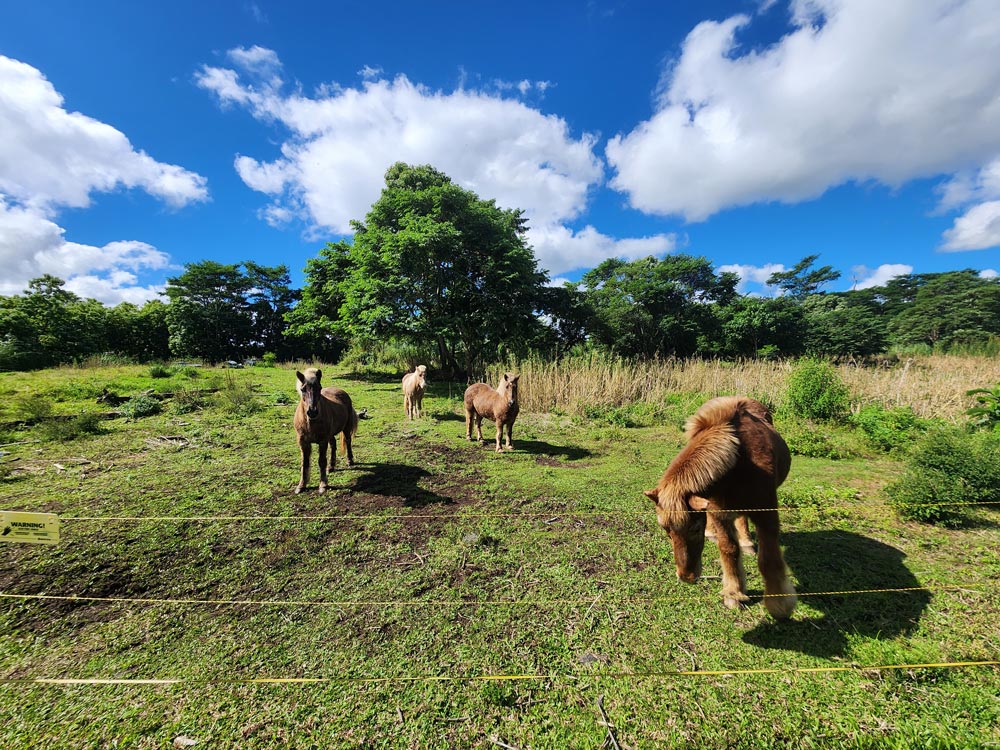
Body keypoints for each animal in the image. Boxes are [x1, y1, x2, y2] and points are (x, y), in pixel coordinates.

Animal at [643, 396, 796, 619]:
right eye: (666, 531)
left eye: (695, 528)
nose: (686, 577)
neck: (740, 464)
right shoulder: (718, 513)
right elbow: (728, 549)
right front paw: (734, 593)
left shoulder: (766, 513)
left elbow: (769, 558)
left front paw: (780, 604)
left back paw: (747, 542)